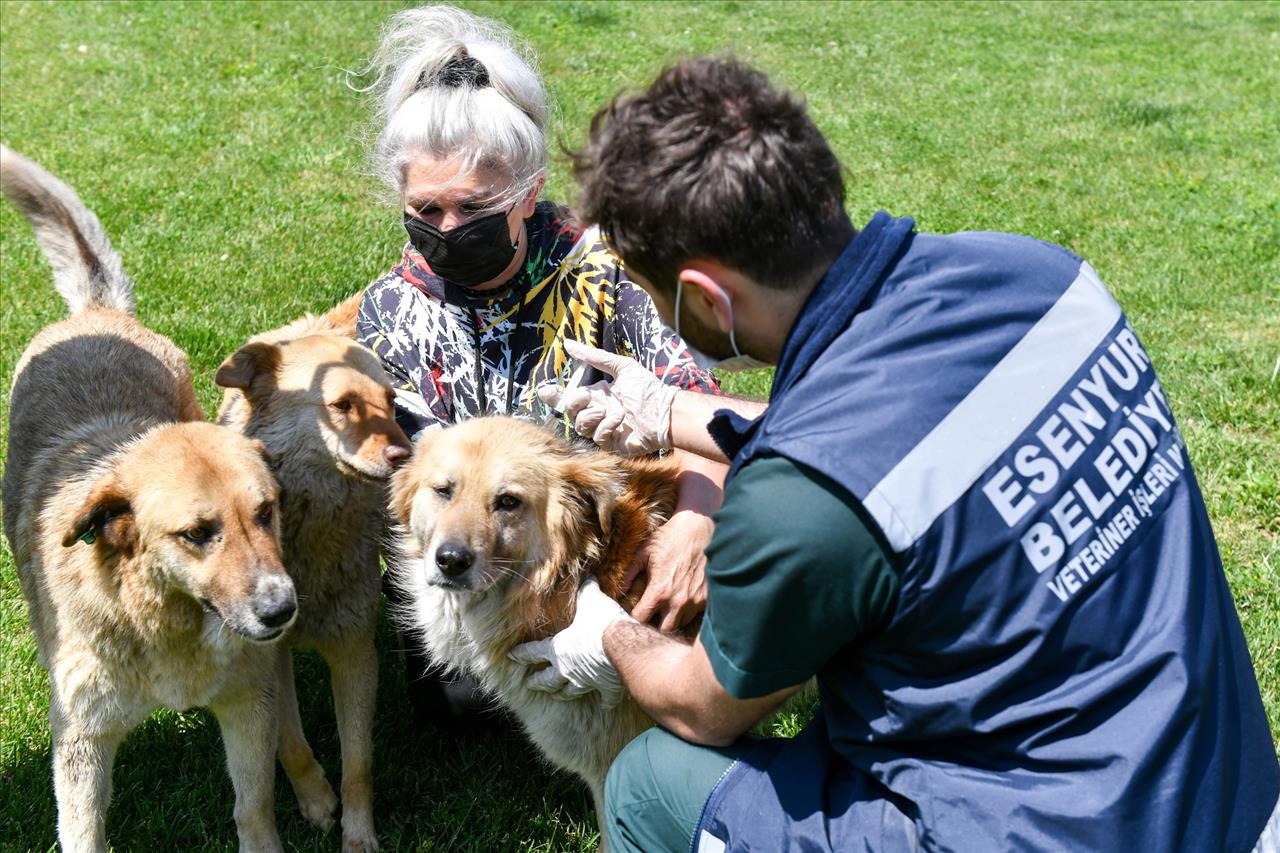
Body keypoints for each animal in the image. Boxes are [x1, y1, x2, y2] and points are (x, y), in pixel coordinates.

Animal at [1, 147, 294, 850]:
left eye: (266, 512)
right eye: (198, 533)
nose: (282, 611)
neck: (166, 624)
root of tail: (97, 314)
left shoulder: (249, 705)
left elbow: (253, 806)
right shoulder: (81, 740)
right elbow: (83, 833)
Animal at [216, 294, 409, 850]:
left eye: (392, 402)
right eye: (342, 405)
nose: (406, 455)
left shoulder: (354, 650)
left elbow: (359, 766)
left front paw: (358, 836)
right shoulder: (267, 656)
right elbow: (290, 742)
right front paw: (317, 801)